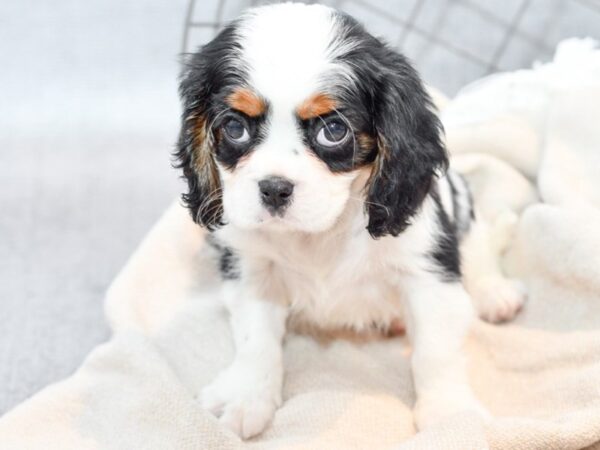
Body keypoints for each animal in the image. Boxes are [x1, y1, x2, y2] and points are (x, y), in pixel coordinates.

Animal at [175, 2, 524, 440]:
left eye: (334, 130)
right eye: (235, 127)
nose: (274, 189)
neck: (321, 232)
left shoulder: (427, 274)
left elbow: (436, 350)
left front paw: (450, 414)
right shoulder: (252, 270)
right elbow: (256, 339)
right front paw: (246, 396)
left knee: (477, 243)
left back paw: (494, 292)